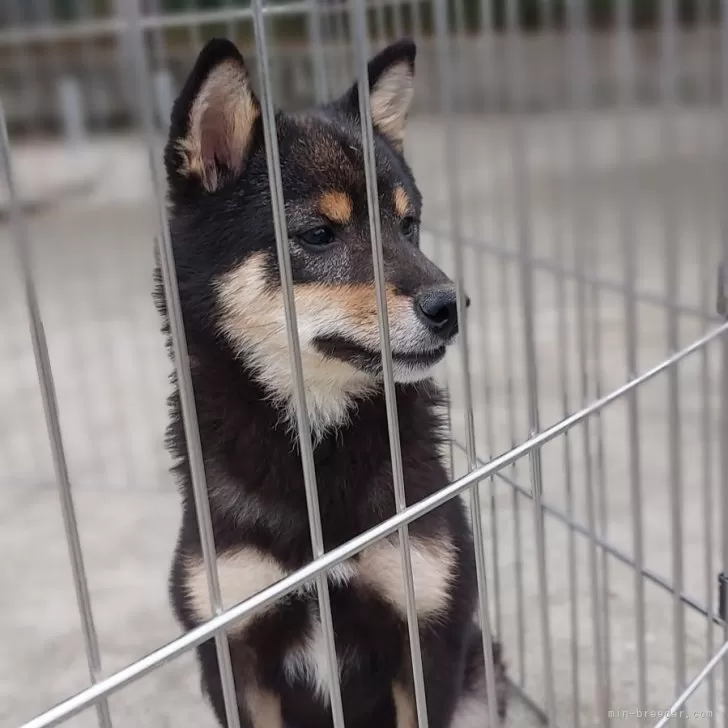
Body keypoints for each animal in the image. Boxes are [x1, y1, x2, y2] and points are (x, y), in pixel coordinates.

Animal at [156, 37, 510, 724]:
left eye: (408, 225)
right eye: (319, 234)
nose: (451, 306)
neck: (315, 451)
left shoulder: (427, 631)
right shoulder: (235, 656)